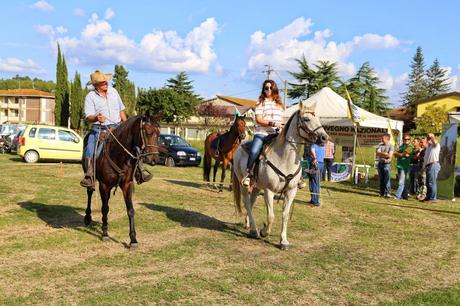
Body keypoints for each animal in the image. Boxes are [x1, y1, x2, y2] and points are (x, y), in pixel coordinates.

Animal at [83, 115, 162, 246]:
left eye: (159, 133)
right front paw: (105, 233)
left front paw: (133, 239)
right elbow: (105, 208)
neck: (118, 154)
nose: (154, 159)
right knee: (89, 192)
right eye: (147, 132)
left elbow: (130, 210)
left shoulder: (127, 184)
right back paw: (88, 217)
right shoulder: (104, 185)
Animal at [234, 101, 328, 250]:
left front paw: (283, 241)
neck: (284, 158)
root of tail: (240, 145)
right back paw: (254, 230)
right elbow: (271, 216)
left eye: (318, 118)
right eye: (306, 119)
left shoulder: (291, 191)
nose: (324, 138)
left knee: (252, 201)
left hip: (257, 186)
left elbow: (285, 215)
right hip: (243, 184)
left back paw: (248, 224)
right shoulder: (269, 191)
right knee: (247, 202)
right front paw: (264, 231)